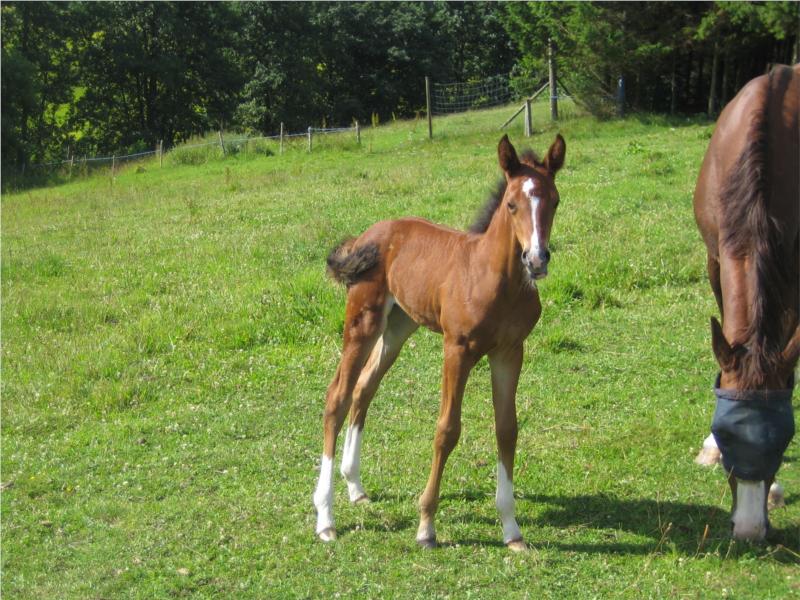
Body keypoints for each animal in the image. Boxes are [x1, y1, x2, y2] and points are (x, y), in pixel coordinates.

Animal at [310, 134, 564, 552]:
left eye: (555, 200)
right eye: (512, 204)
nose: (537, 259)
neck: (495, 278)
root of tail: (365, 236)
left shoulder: (510, 351)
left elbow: (507, 428)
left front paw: (512, 530)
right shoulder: (456, 349)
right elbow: (447, 430)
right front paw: (426, 526)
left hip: (398, 327)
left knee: (364, 388)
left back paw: (355, 487)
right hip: (363, 322)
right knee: (338, 397)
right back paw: (326, 519)